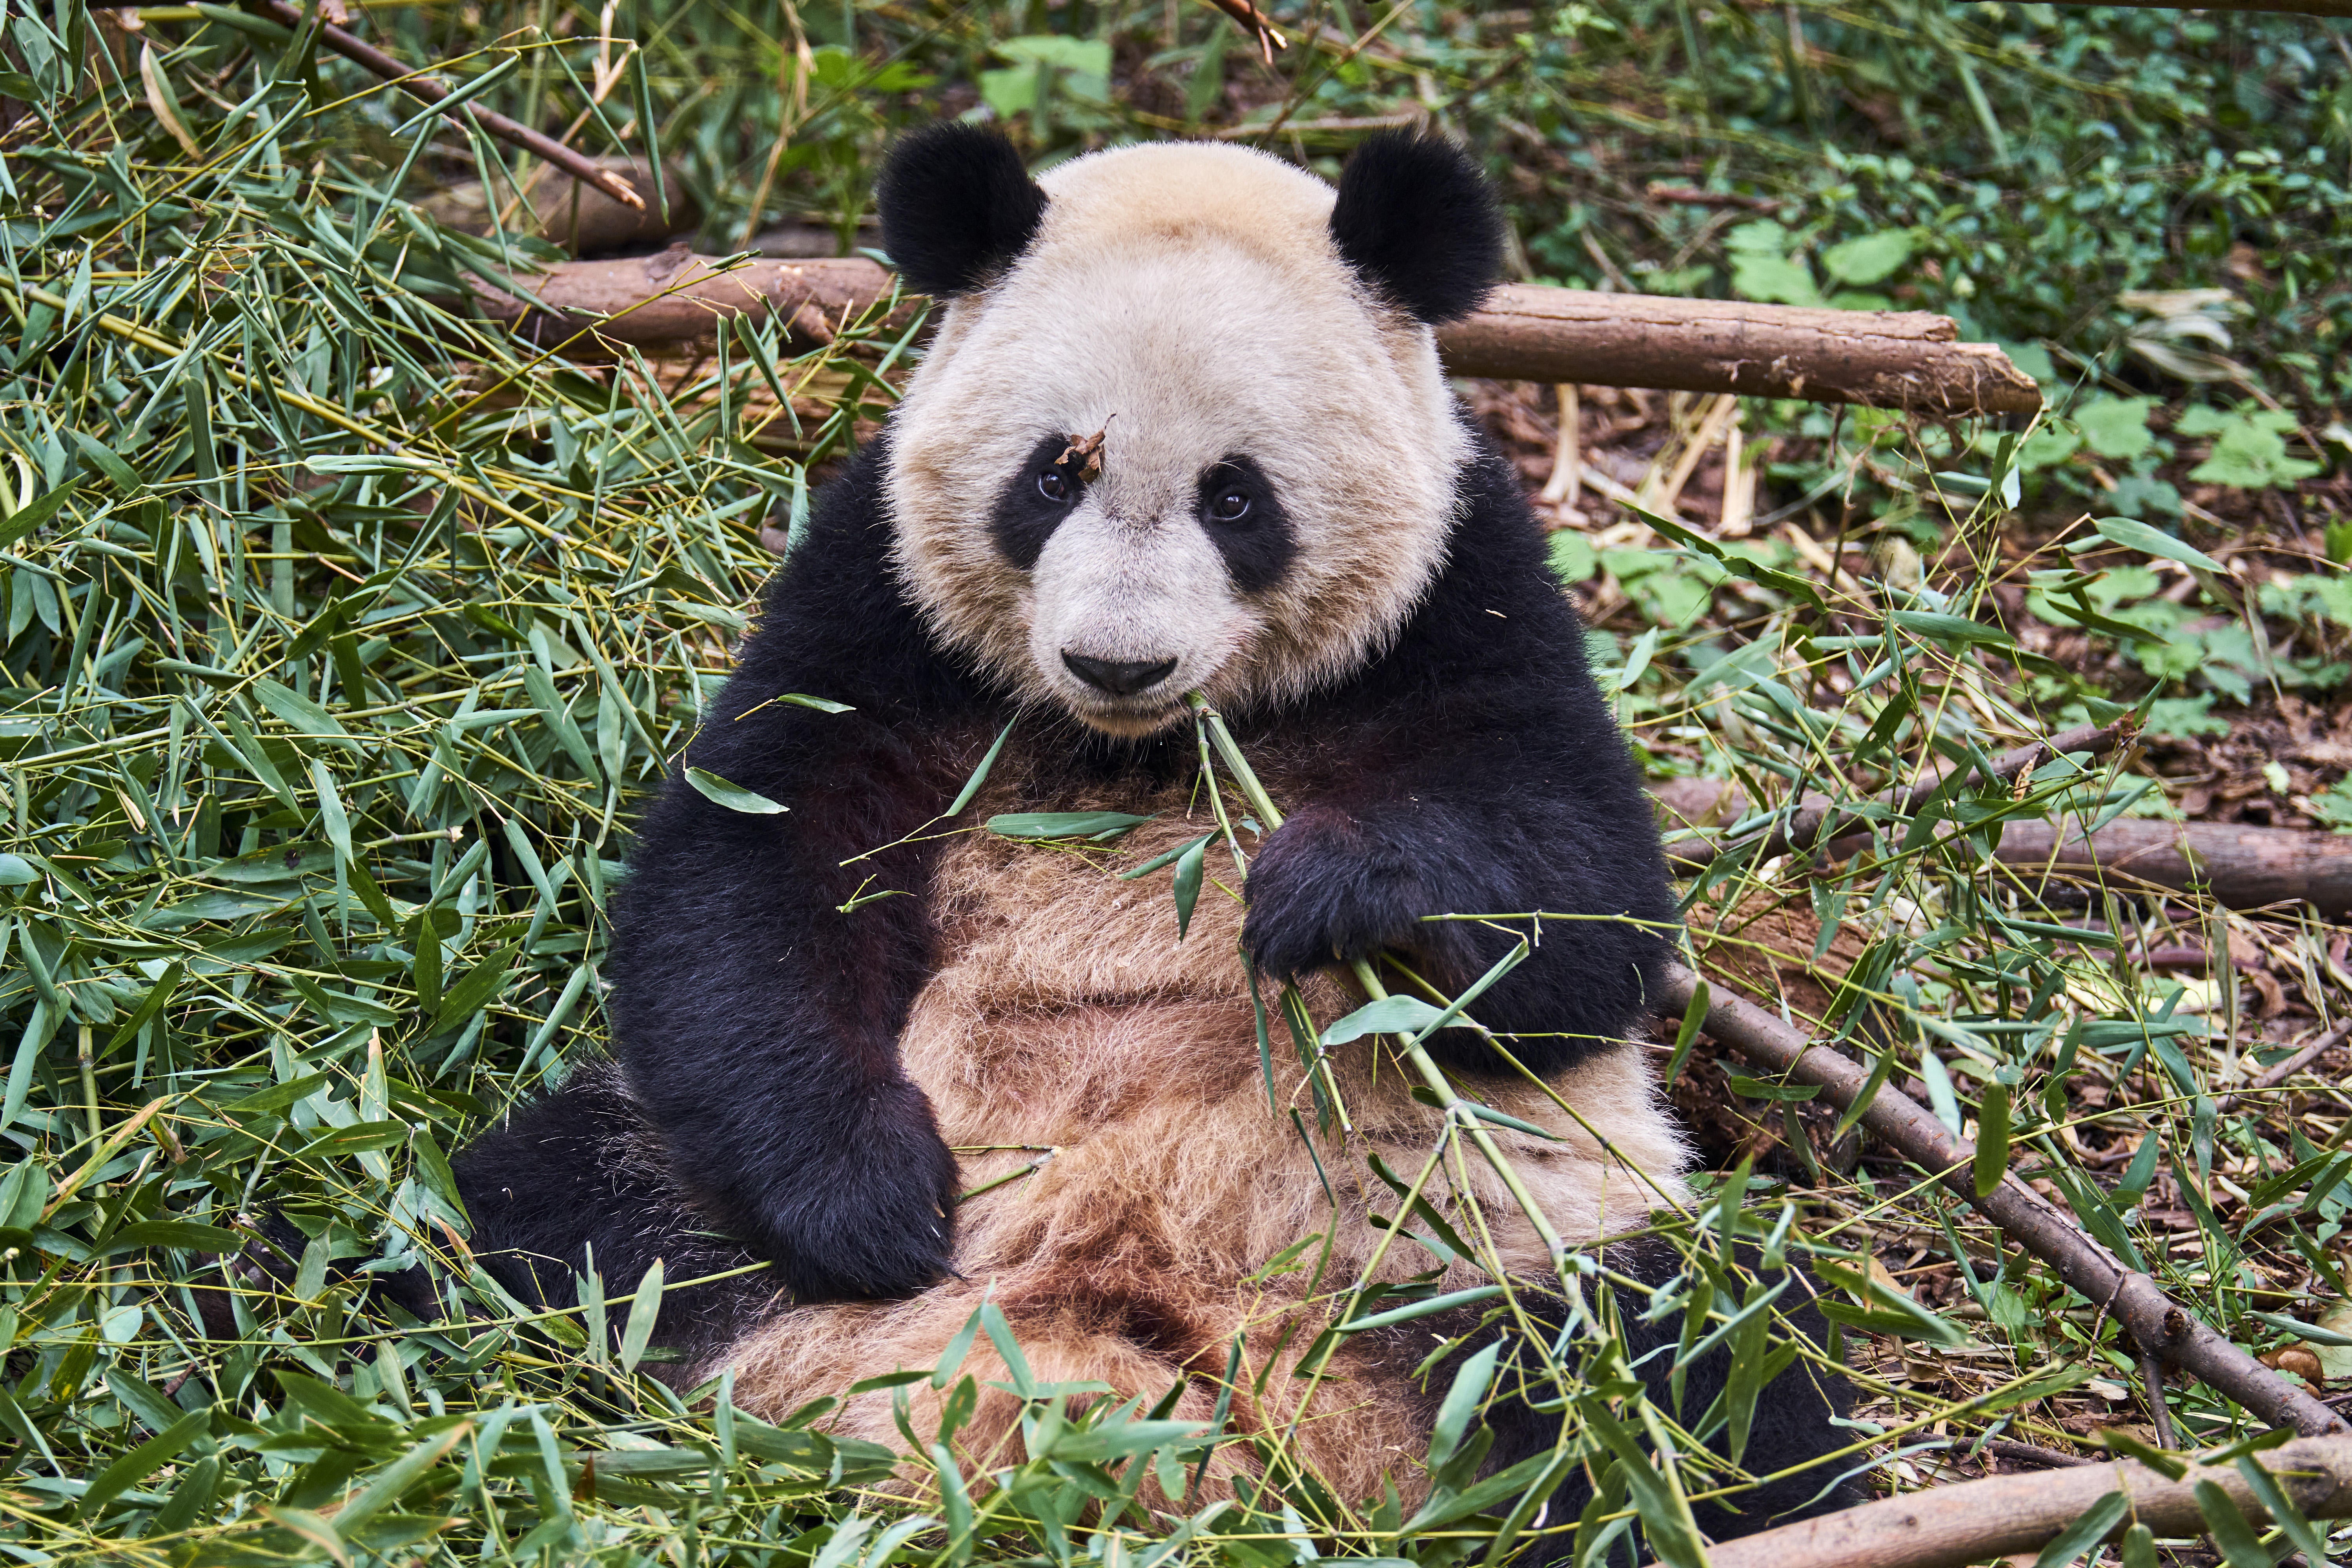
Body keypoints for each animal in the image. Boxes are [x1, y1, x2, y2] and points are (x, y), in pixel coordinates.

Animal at [449, 125, 1860, 1547]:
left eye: (1235, 498)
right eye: (1051, 473)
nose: (1115, 660)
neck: (1137, 748)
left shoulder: (1465, 593)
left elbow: (1582, 912)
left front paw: (1331, 888)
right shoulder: (878, 604)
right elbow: (753, 874)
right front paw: (868, 1202)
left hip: (1495, 1245)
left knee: (1703, 1366)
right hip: (686, 1209)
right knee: (537, 1215)